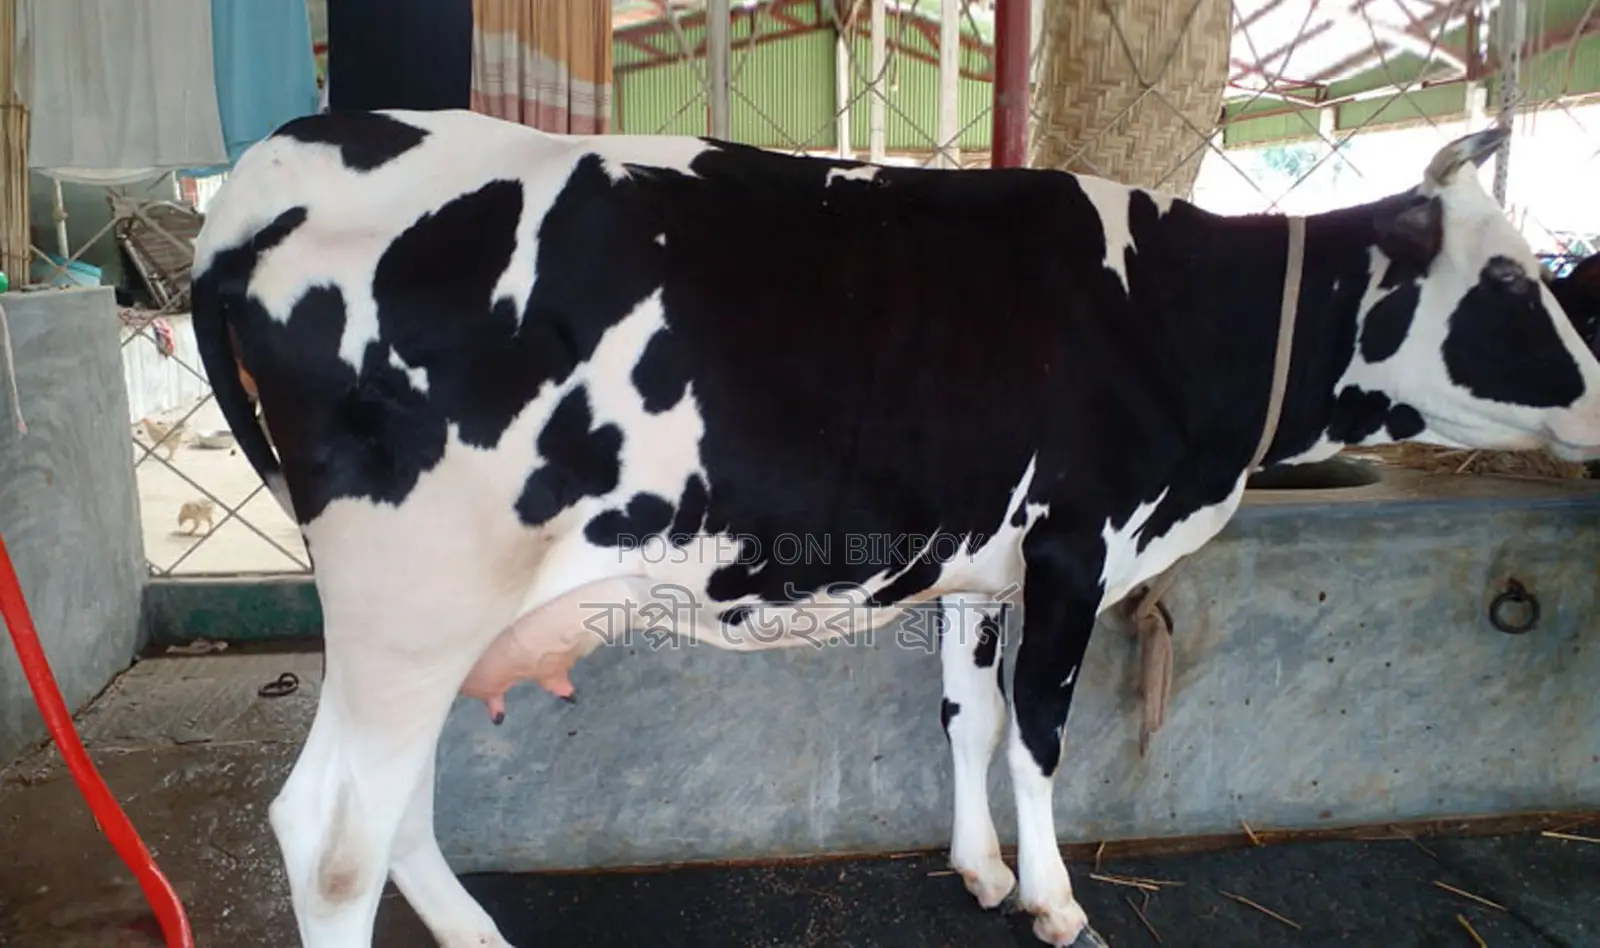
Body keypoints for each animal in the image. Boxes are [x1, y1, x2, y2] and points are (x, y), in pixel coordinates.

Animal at [190, 109, 1600, 948]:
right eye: (1512, 278)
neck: (1178, 320)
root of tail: (278, 161)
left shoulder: (983, 558)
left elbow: (965, 715)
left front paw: (978, 869)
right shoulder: (1074, 543)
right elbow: (1039, 733)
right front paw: (1053, 900)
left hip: (429, 621)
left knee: (395, 809)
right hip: (413, 596)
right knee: (331, 839)